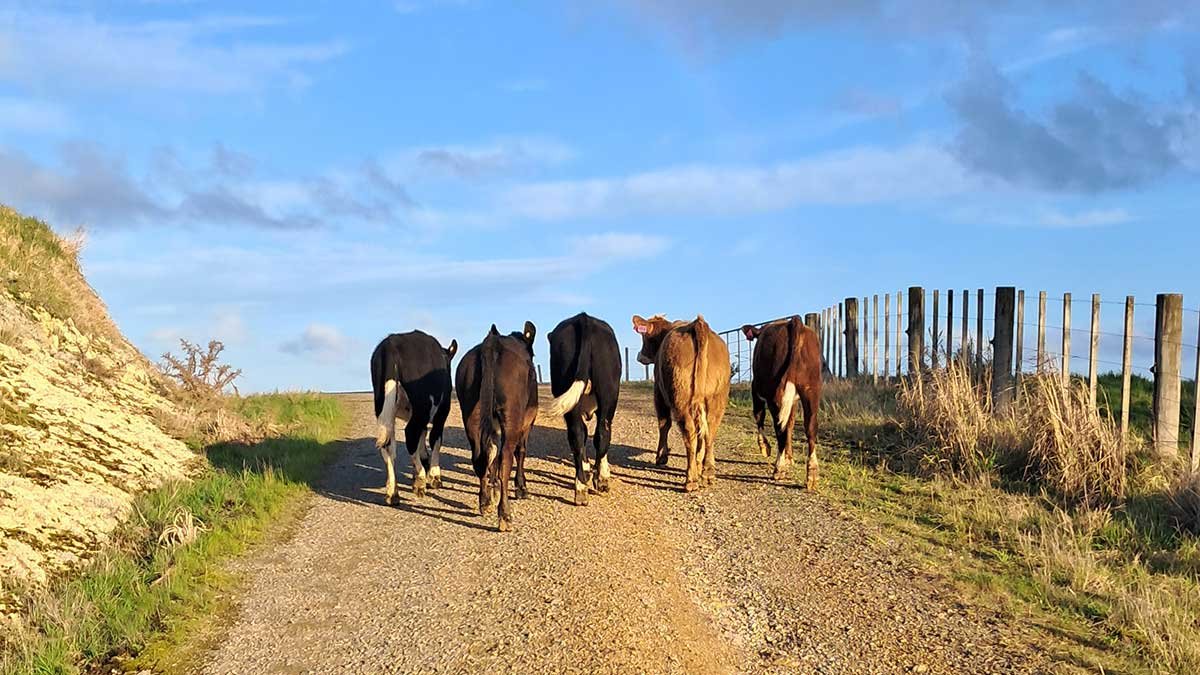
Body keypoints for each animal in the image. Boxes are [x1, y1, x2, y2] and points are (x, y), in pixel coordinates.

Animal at [370, 331, 458, 505]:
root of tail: (390, 344)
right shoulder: (441, 413)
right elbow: (435, 440)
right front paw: (434, 476)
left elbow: (421, 440)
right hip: (422, 408)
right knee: (410, 434)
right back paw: (421, 481)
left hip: (384, 406)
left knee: (389, 445)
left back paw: (393, 493)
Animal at [455, 322, 538, 532]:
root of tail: (491, 341)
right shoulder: (528, 420)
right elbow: (520, 451)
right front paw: (521, 488)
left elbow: (492, 455)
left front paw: (492, 490)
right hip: (512, 415)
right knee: (505, 457)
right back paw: (505, 515)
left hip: (471, 412)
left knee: (480, 456)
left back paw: (485, 501)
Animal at [544, 312, 622, 506]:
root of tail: (583, 318)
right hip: (608, 395)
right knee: (601, 433)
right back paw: (598, 480)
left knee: (579, 434)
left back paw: (580, 487)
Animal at [631, 314, 730, 492]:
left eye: (644, 337)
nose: (639, 356)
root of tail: (698, 324)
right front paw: (699, 462)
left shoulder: (659, 393)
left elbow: (664, 424)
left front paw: (661, 456)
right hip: (717, 398)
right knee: (710, 431)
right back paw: (707, 471)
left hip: (680, 398)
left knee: (690, 431)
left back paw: (691, 479)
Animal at [742, 316, 822, 489]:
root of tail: (794, 321)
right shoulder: (794, 400)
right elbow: (791, 424)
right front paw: (789, 457)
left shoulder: (755, 389)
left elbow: (759, 416)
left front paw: (764, 446)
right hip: (811, 390)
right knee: (810, 427)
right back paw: (812, 473)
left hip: (776, 394)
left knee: (780, 429)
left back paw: (779, 468)